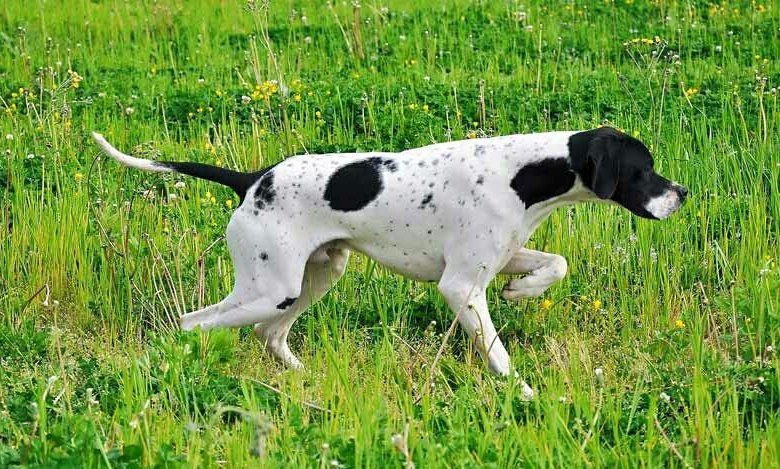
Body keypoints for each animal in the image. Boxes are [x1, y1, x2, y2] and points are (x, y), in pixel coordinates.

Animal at [93, 125, 688, 384]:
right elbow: (499, 354)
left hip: (315, 277)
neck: (521, 174)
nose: (682, 193)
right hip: (269, 289)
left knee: (269, 335)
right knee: (191, 323)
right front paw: (521, 394)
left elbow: (555, 264)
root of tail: (252, 180)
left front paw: (524, 290)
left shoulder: (498, 259)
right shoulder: (461, 287)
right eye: (644, 169)